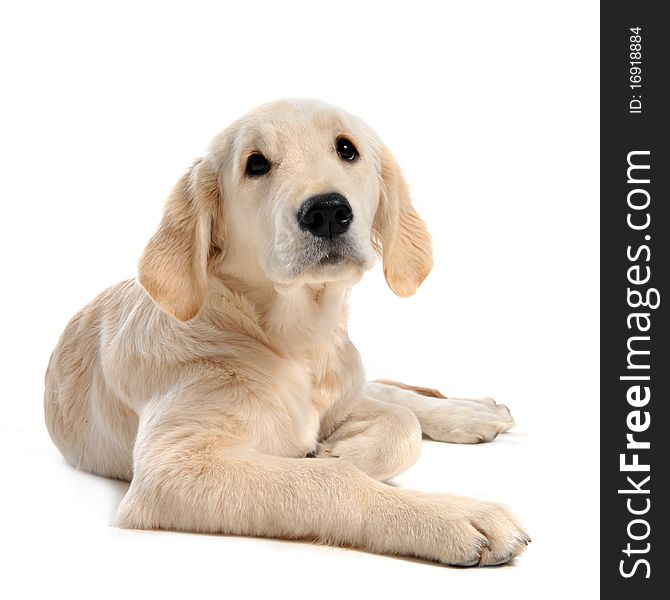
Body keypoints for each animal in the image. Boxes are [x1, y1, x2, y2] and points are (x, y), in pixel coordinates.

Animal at [46, 99, 532, 568]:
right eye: (256, 164)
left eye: (347, 149)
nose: (328, 212)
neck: (293, 339)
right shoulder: (172, 468)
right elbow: (331, 479)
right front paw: (452, 514)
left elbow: (398, 425)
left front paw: (341, 449)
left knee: (390, 395)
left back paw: (474, 412)